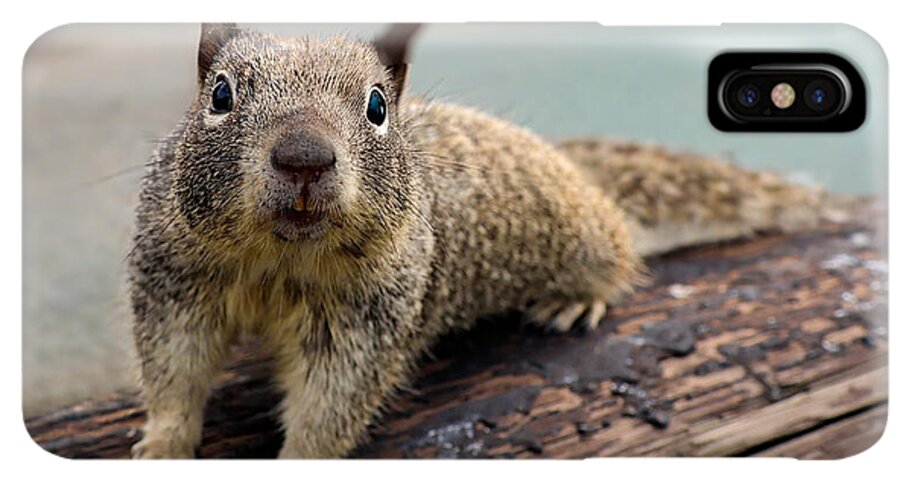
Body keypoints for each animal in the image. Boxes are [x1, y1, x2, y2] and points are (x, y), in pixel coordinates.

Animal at [129, 24, 822, 459]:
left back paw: (578, 297)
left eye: (377, 106)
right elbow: (174, 371)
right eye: (220, 94)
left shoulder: (368, 320)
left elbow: (332, 405)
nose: (304, 157)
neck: (282, 258)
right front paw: (161, 445)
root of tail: (574, 170)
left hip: (586, 235)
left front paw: (299, 458)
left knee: (618, 248)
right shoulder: (176, 280)